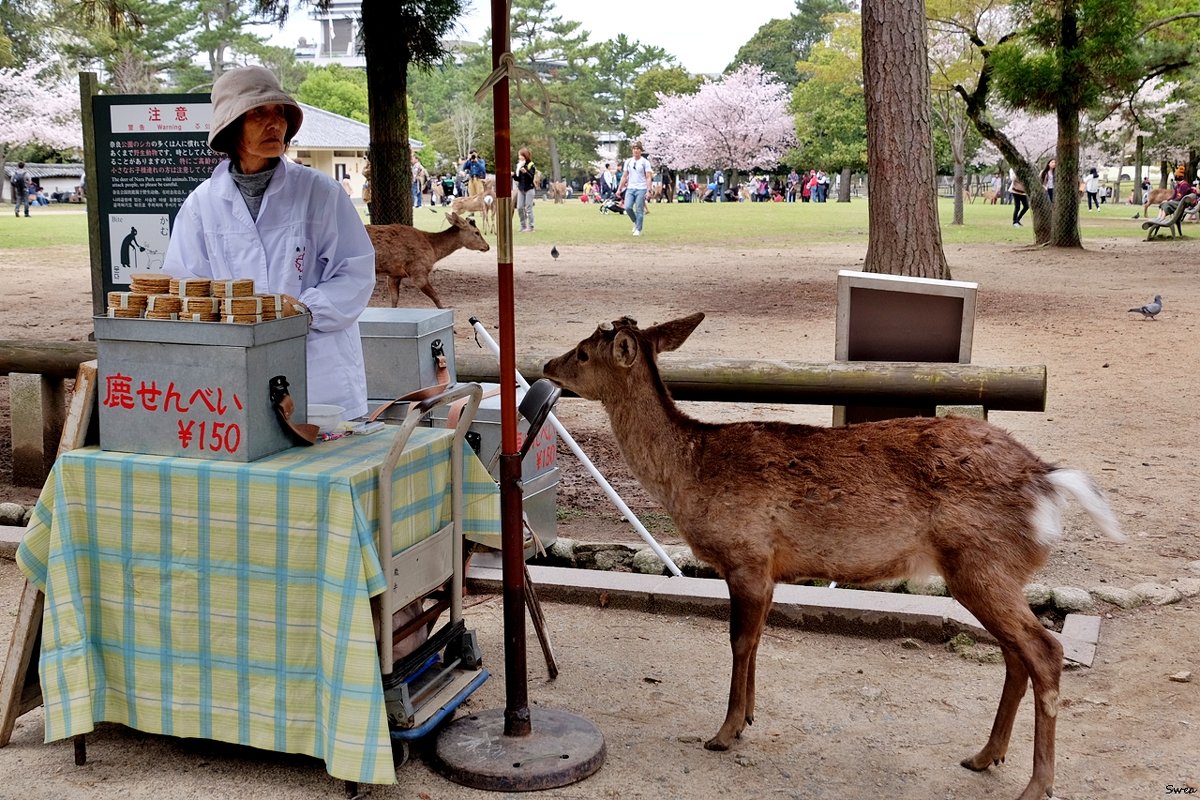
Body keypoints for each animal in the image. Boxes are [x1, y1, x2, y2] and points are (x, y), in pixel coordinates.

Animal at [544, 311, 1123, 800]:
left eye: (583, 352)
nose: (546, 365)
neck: (691, 474)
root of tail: (1047, 480)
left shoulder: (747, 555)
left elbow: (738, 642)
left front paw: (724, 732)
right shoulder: (770, 569)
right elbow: (757, 641)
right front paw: (749, 718)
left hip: (980, 563)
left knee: (1044, 649)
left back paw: (1036, 785)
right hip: (993, 571)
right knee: (1016, 654)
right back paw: (984, 756)